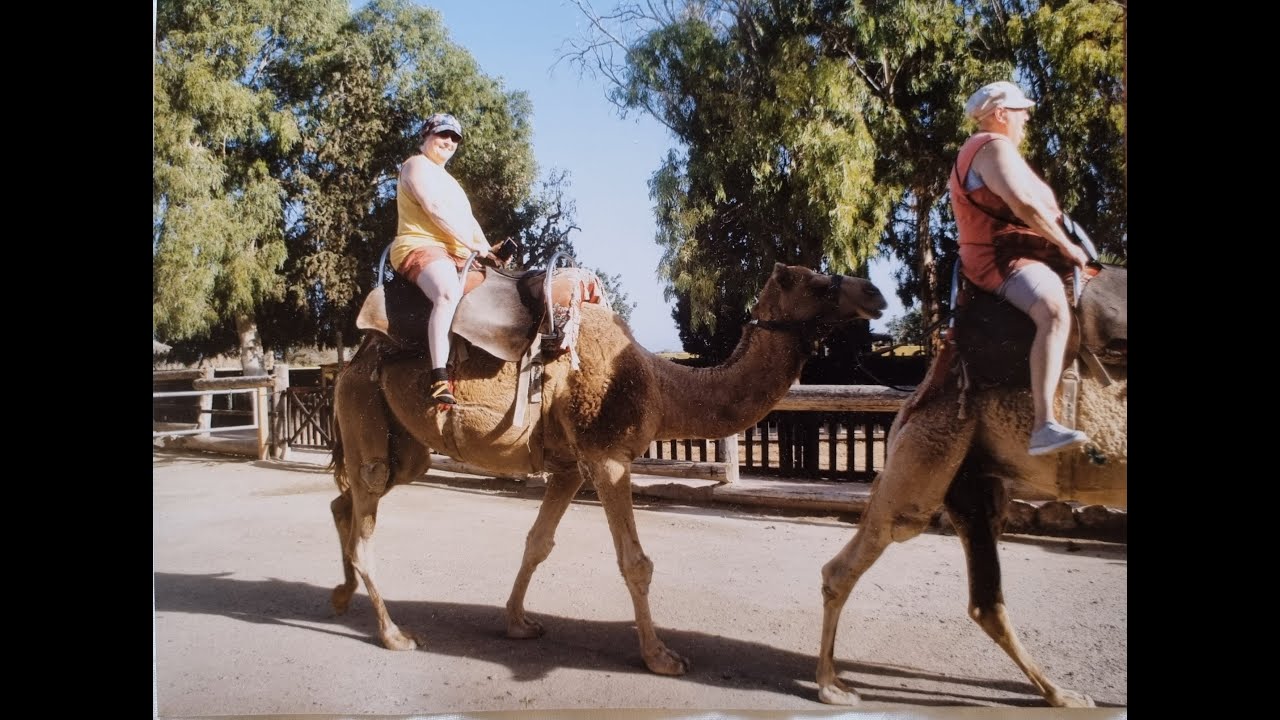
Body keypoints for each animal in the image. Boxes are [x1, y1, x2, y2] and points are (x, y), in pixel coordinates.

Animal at [328, 261, 887, 675]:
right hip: (365, 414)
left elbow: (538, 543)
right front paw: (661, 657)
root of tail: (351, 360)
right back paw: (394, 634)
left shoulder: (570, 468)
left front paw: (517, 623)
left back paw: (342, 594)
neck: (662, 386)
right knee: (364, 515)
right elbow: (635, 563)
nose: (874, 291)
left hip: (405, 447)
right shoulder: (608, 457)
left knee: (346, 500)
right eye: (812, 282)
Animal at [815, 265, 1127, 708]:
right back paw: (831, 686)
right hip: (926, 465)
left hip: (970, 478)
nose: (871, 295)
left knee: (985, 601)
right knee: (852, 563)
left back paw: (1057, 693)